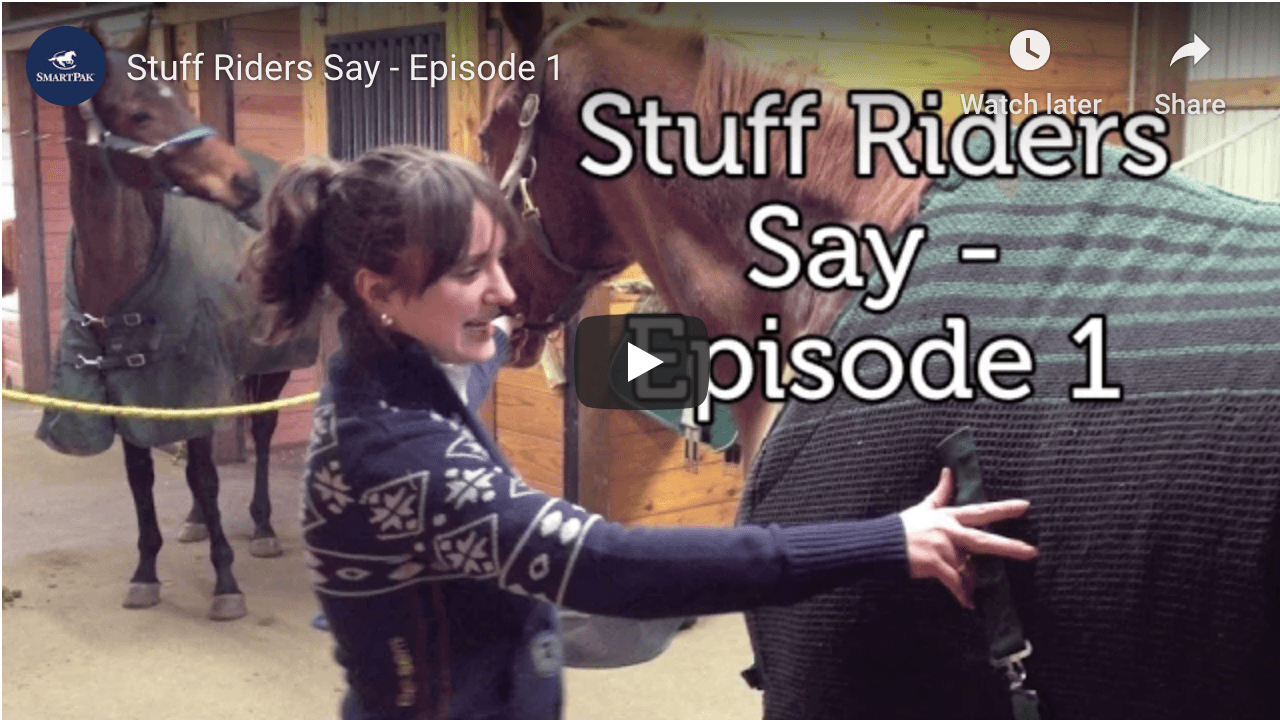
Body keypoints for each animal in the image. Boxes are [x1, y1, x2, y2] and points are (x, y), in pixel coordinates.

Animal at [34, 22, 318, 621]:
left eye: (184, 101)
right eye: (140, 113)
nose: (242, 183)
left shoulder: (192, 377)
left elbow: (207, 477)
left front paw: (225, 582)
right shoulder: (127, 391)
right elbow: (142, 479)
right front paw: (146, 571)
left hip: (271, 363)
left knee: (260, 430)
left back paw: (261, 527)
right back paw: (194, 522)